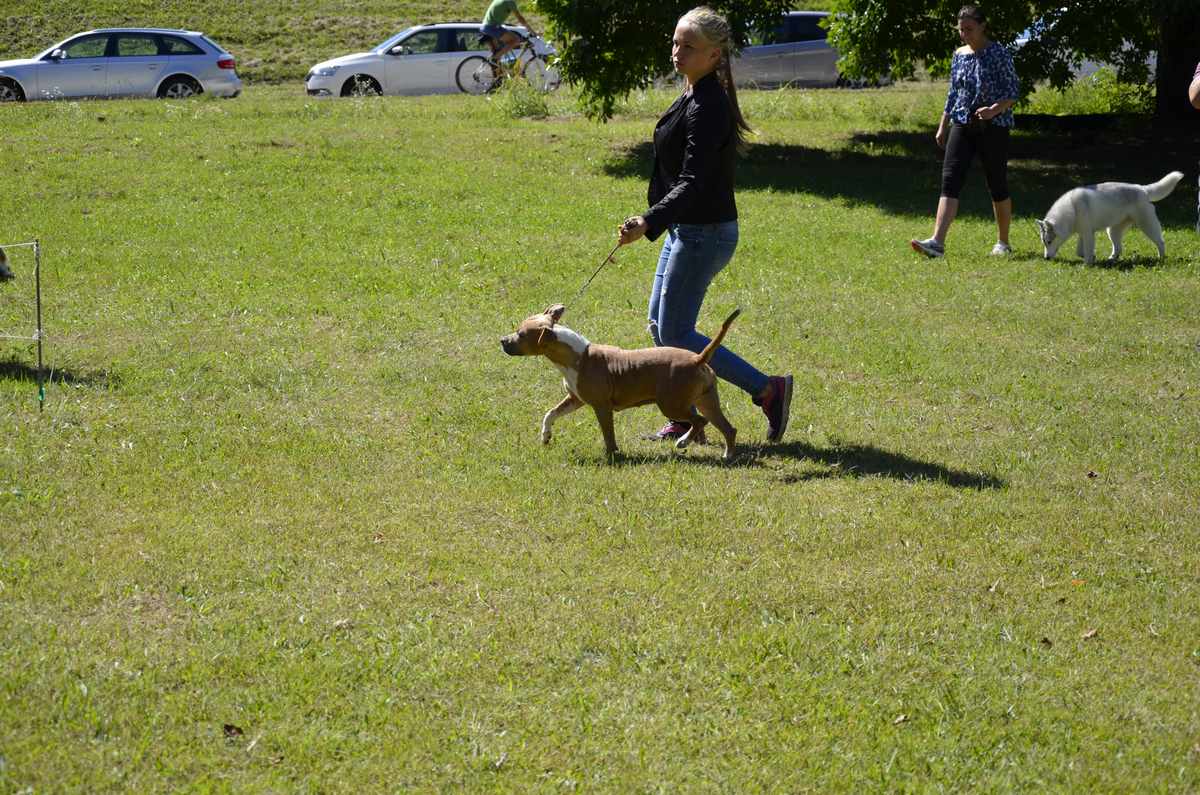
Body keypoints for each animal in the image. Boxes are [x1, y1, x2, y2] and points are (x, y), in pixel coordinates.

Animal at [501, 304, 739, 460]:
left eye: (521, 334)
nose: (502, 340)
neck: (577, 356)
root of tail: (698, 358)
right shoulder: (575, 399)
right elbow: (550, 413)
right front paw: (546, 436)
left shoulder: (601, 406)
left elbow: (608, 433)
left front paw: (611, 454)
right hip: (706, 402)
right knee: (727, 428)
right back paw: (727, 455)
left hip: (672, 405)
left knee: (699, 421)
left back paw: (684, 442)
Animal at [1035, 171, 1184, 264]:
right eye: (1044, 242)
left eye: (1049, 242)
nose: (1046, 258)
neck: (1072, 208)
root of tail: (1142, 189)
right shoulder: (1083, 233)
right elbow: (1079, 252)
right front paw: (1093, 257)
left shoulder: (1088, 234)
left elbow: (1087, 252)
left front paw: (1087, 265)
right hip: (1112, 231)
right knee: (1118, 248)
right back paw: (1111, 260)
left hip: (1146, 226)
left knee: (1160, 242)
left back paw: (1161, 258)